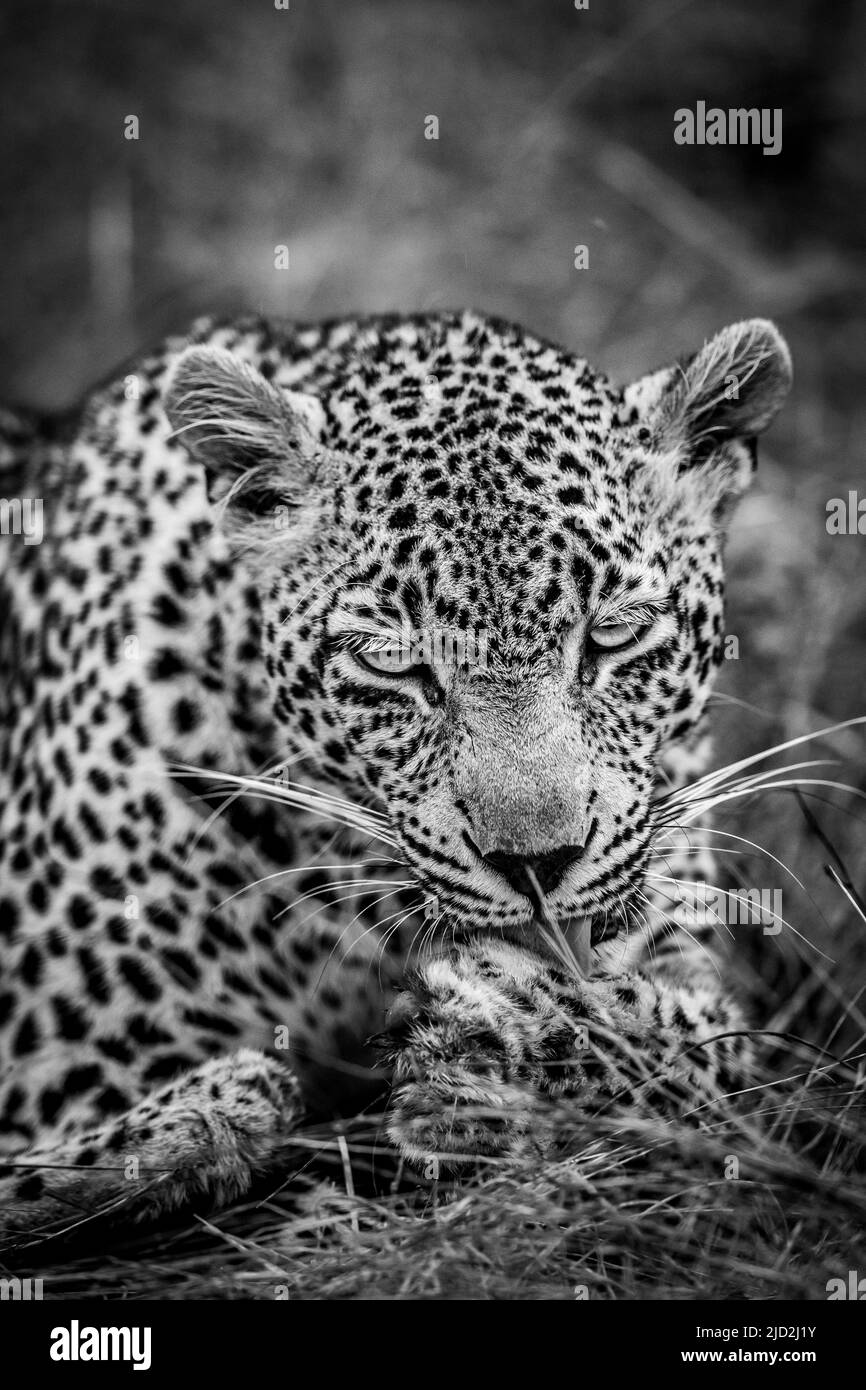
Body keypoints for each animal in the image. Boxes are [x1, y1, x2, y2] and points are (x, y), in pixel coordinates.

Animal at [0, 308, 791, 1241]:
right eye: (391, 663)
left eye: (614, 634)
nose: (537, 865)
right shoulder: (59, 1064)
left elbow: (714, 1055)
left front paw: (509, 1048)